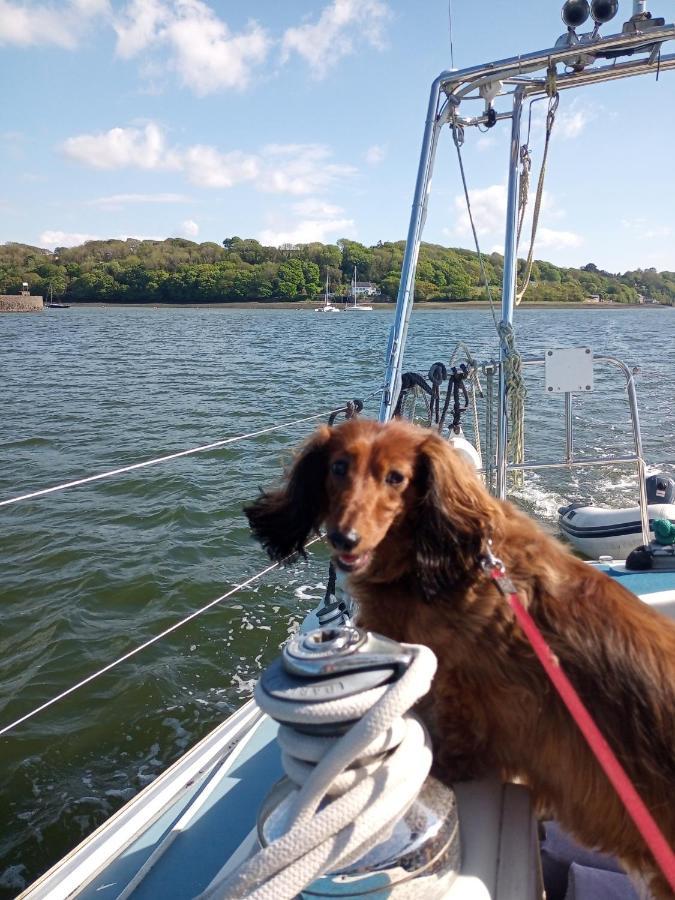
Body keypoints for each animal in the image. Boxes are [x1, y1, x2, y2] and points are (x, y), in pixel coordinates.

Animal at [247, 418, 675, 896]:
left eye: (396, 477)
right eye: (339, 467)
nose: (345, 537)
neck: (443, 563)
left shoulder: (461, 681)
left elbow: (456, 733)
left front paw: (444, 769)